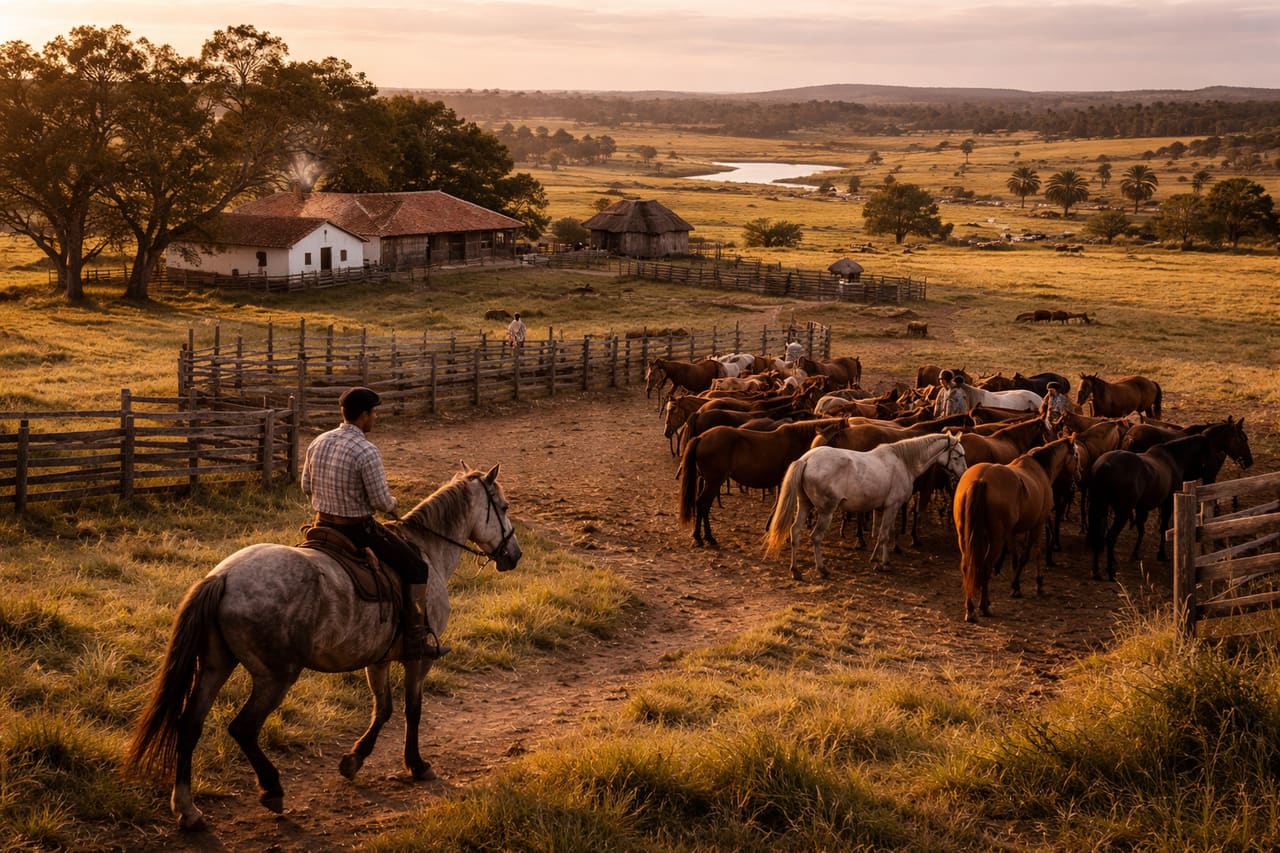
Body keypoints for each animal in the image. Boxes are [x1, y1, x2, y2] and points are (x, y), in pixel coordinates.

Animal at [125, 466, 522, 831]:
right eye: (503, 506)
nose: (515, 555)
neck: (429, 551)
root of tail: (222, 577)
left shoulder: (377, 660)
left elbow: (384, 709)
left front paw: (354, 760)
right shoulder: (418, 660)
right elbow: (412, 710)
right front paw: (417, 764)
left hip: (215, 666)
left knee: (189, 725)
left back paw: (188, 810)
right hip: (274, 677)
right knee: (243, 728)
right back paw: (271, 789)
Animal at [763, 433, 967, 579]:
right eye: (957, 456)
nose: (963, 475)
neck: (903, 462)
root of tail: (807, 459)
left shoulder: (883, 508)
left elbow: (883, 533)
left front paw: (882, 560)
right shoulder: (892, 507)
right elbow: (883, 535)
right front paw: (879, 562)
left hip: (805, 505)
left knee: (795, 531)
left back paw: (795, 570)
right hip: (826, 511)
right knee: (816, 537)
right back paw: (822, 569)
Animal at [953, 437, 1079, 622]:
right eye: (1076, 455)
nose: (1079, 476)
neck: (1040, 469)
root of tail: (980, 479)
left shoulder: (1011, 532)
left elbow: (1014, 556)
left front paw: (1016, 585)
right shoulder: (1037, 525)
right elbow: (1031, 554)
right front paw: (1036, 583)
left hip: (965, 537)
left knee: (967, 566)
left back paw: (971, 608)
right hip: (996, 539)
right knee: (985, 566)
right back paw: (983, 607)